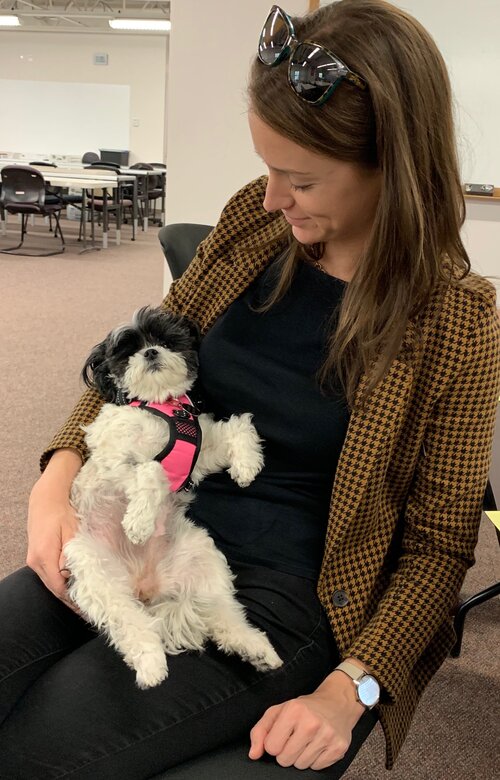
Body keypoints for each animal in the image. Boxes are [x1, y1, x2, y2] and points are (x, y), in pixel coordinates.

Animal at [63, 304, 282, 688]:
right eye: (127, 352)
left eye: (166, 341)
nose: (151, 352)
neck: (163, 407)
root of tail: (146, 586)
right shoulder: (114, 463)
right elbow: (151, 470)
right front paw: (138, 523)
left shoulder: (201, 453)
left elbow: (240, 426)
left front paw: (247, 466)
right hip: (94, 570)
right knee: (127, 620)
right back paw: (151, 664)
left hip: (202, 558)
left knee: (222, 615)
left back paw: (254, 648)